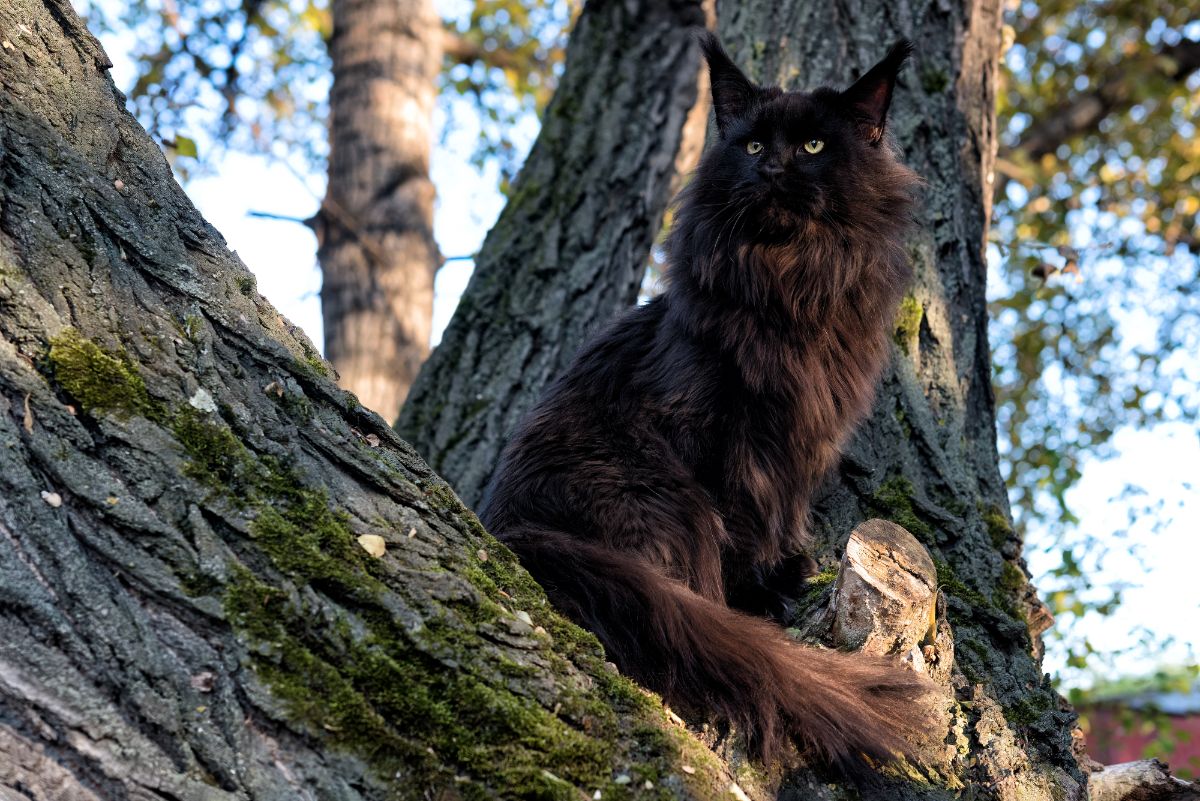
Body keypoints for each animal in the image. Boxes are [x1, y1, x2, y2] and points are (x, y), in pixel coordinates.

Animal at [482, 32, 931, 767]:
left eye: (813, 146)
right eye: (751, 145)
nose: (772, 167)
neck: (790, 289)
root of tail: (517, 535)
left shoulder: (804, 441)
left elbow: (784, 511)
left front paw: (788, 572)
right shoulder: (717, 435)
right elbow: (746, 521)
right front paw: (764, 596)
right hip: (664, 495)